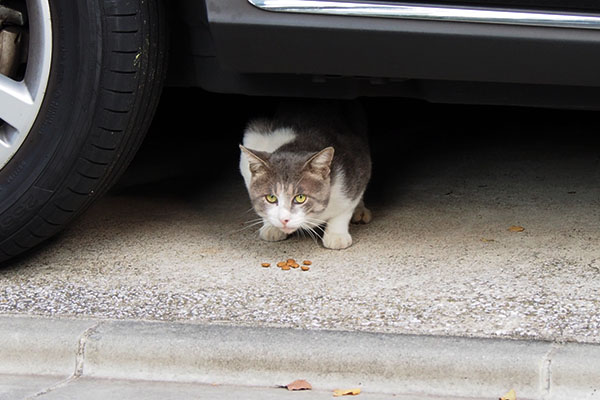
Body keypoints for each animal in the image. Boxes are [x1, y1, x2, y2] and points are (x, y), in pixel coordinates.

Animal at [239, 100, 370, 248]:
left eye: (300, 198)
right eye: (271, 198)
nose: (284, 219)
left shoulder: (358, 164)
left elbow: (346, 207)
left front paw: (336, 235)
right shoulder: (252, 140)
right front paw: (271, 226)